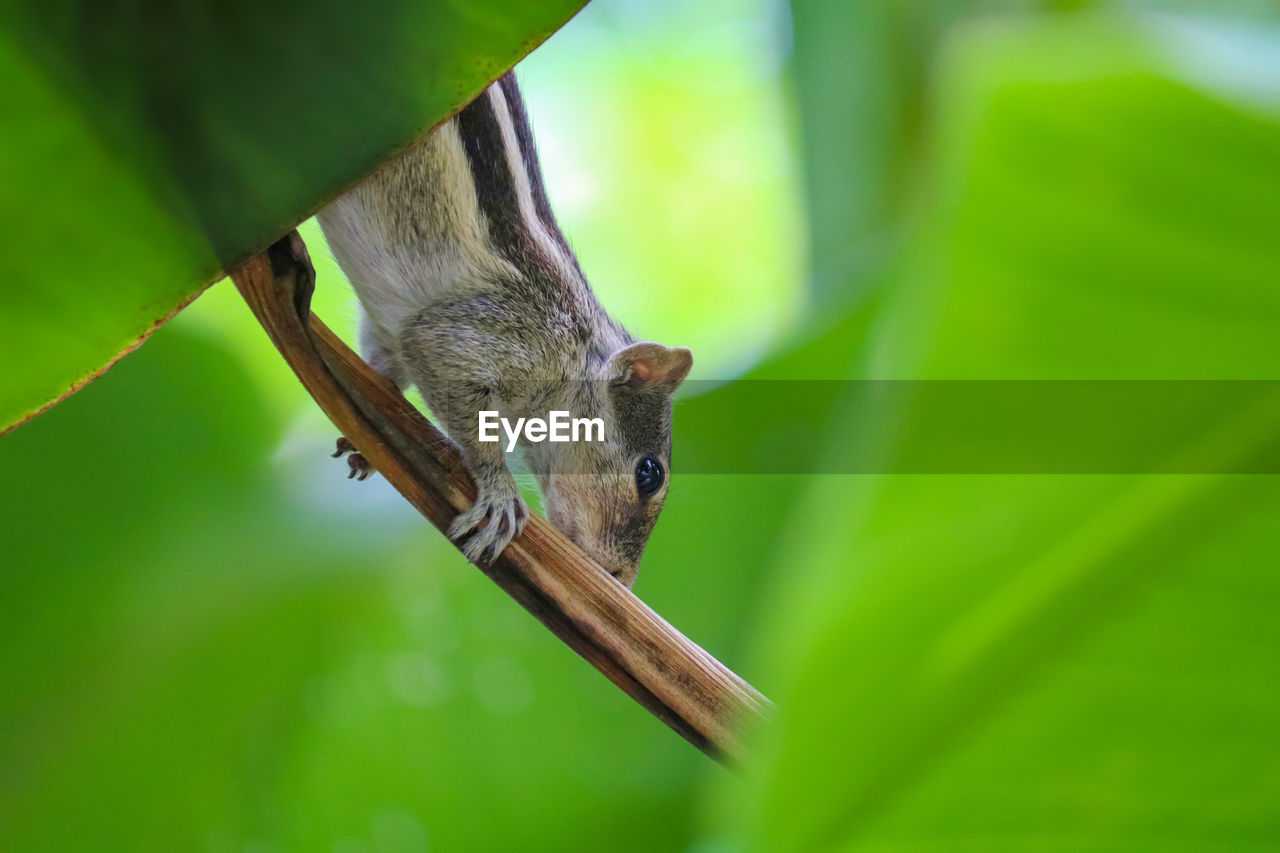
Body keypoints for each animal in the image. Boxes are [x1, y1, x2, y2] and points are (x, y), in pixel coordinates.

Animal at [320, 73, 701, 584]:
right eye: (649, 473)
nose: (622, 578)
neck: (576, 350)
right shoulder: (480, 338)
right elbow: (463, 409)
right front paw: (500, 494)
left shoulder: (388, 332)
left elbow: (383, 362)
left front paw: (363, 430)